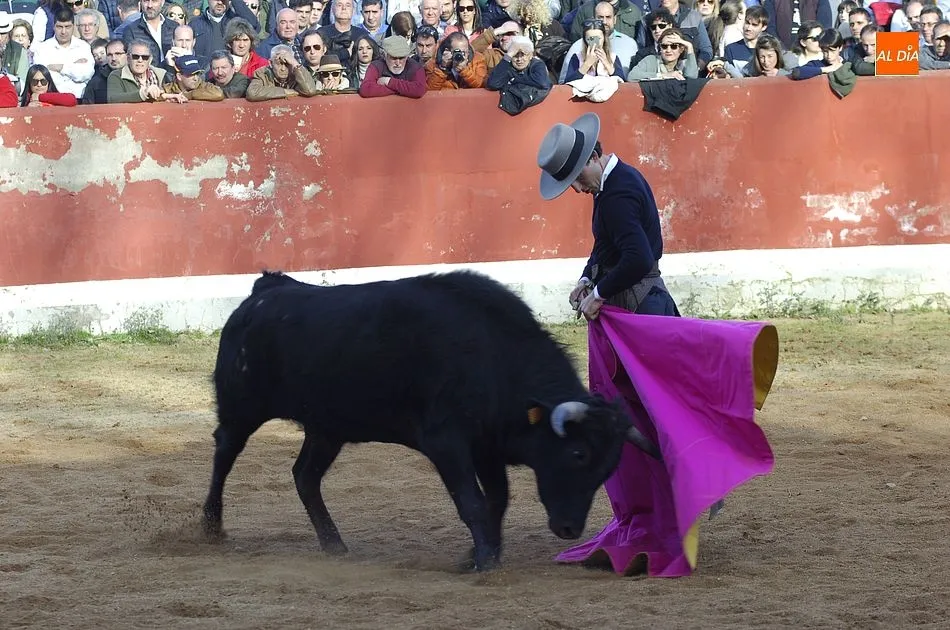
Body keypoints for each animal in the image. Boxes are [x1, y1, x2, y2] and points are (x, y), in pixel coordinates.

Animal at [202, 269, 661, 571]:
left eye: (608, 469)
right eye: (578, 453)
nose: (568, 529)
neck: (494, 357)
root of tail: (265, 289)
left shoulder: (486, 448)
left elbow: (496, 500)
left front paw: (481, 552)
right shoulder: (447, 443)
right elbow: (471, 500)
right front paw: (484, 561)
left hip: (328, 428)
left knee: (305, 476)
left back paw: (334, 544)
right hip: (242, 407)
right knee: (224, 451)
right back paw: (210, 526)